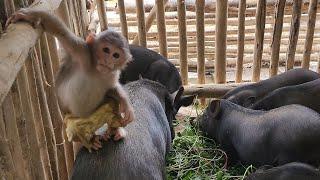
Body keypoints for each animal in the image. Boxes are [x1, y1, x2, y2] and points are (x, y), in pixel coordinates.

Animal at [6, 8, 134, 149]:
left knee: (111, 102)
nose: (108, 61)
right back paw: (91, 140)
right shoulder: (82, 53)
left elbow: (113, 88)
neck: (97, 71)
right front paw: (29, 15)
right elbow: (60, 31)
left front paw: (126, 105)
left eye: (116, 55)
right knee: (76, 129)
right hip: (72, 119)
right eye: (106, 50)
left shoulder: (112, 74)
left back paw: (114, 130)